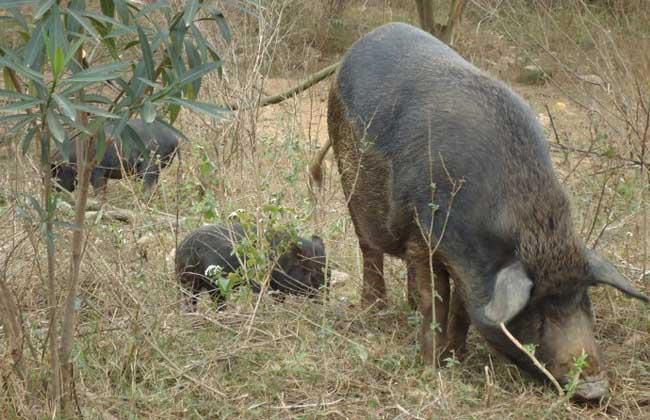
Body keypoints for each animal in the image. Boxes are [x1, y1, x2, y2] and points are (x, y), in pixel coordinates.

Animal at [51, 119, 180, 196]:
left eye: (57, 174)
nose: (54, 190)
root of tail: (176, 139)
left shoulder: (97, 169)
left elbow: (98, 187)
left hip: (151, 164)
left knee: (148, 183)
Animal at [312, 23, 644, 400]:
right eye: (538, 311)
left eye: (584, 301)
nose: (594, 389)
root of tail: (359, 44)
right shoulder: (423, 238)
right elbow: (435, 302)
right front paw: (432, 367)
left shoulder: (467, 264)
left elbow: (462, 308)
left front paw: (456, 357)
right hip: (350, 181)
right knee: (368, 249)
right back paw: (374, 310)